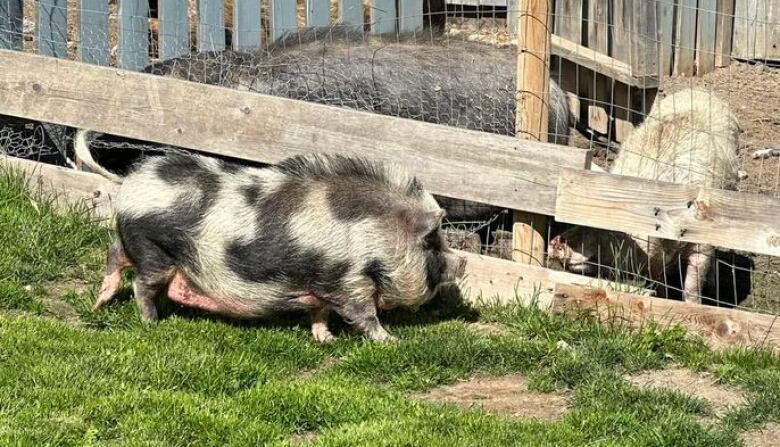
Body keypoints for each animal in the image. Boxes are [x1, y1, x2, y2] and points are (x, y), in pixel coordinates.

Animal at [93, 151, 466, 344]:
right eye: (431, 244)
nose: (462, 263)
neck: (375, 235)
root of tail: (131, 182)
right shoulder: (347, 281)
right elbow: (363, 314)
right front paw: (392, 341)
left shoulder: (320, 284)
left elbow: (321, 312)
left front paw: (325, 340)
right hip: (153, 250)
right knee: (141, 284)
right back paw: (150, 323)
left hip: (129, 239)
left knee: (113, 256)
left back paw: (99, 303)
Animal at [552, 87, 740, 304]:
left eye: (603, 228)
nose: (556, 241)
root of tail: (700, 90)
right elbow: (659, 281)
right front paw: (663, 298)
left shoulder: (702, 242)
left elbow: (692, 285)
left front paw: (695, 303)